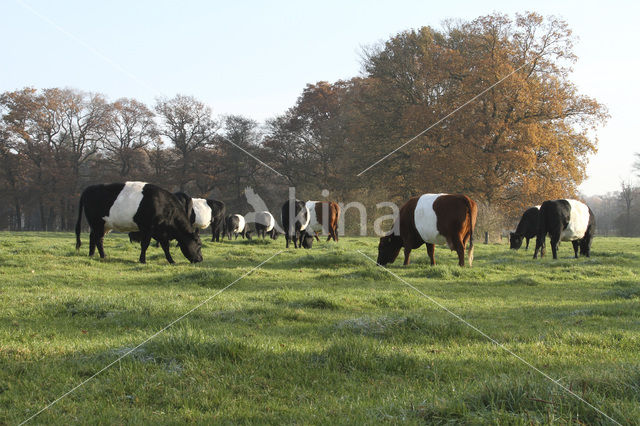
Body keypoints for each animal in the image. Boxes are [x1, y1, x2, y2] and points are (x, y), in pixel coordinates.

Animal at [76, 182, 204, 264]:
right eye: (199, 244)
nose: (200, 259)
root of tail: (89, 189)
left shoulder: (161, 232)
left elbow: (165, 247)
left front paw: (171, 261)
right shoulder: (148, 228)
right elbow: (145, 244)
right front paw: (142, 260)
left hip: (101, 225)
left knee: (93, 237)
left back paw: (92, 254)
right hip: (97, 222)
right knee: (98, 239)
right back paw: (103, 256)